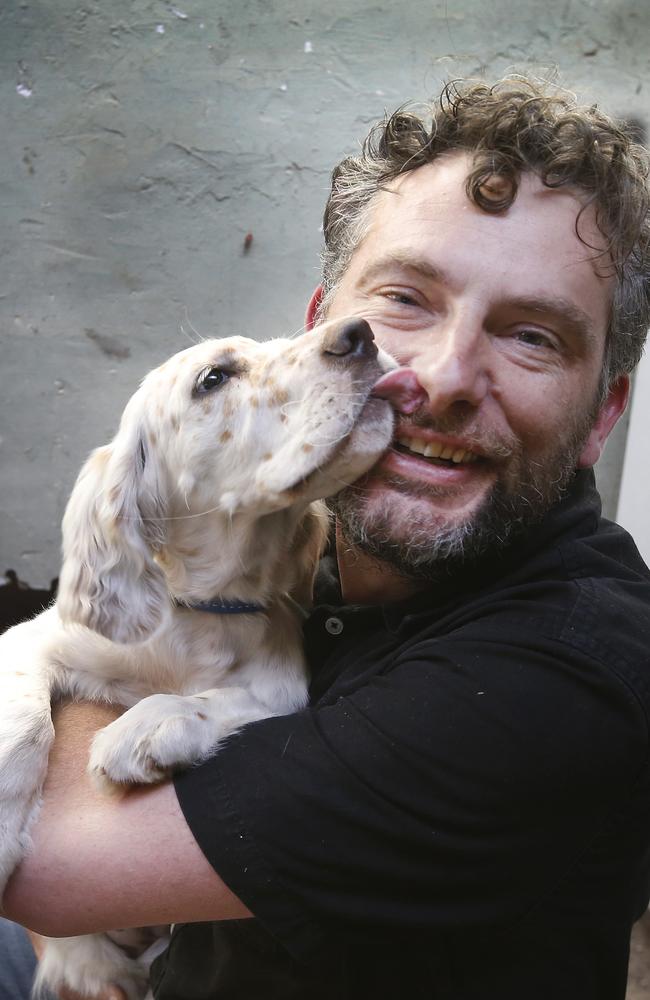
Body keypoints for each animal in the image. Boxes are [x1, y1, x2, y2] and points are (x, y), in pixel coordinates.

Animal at [0, 320, 394, 1000]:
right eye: (214, 378)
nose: (360, 333)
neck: (202, 611)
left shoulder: (284, 689)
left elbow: (235, 701)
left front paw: (146, 727)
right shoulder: (31, 641)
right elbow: (24, 719)